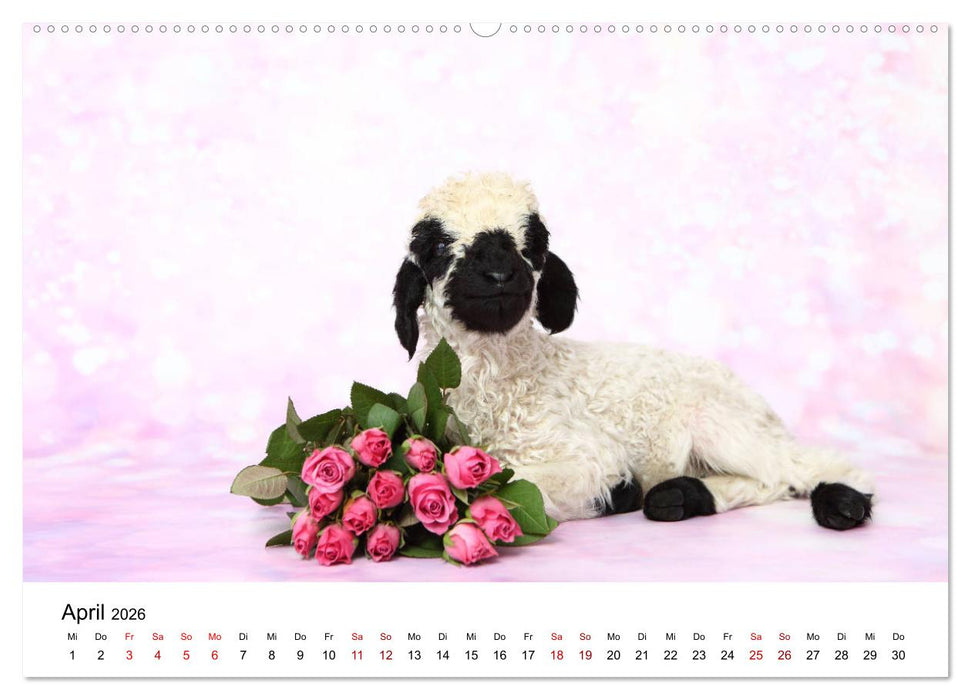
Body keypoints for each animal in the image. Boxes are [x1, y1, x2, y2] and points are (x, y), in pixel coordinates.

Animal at [392, 172, 874, 529]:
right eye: (439, 246)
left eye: (530, 245)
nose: (499, 275)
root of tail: (767, 413)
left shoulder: (585, 454)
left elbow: (512, 484)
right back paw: (677, 496)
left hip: (718, 421)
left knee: (784, 473)